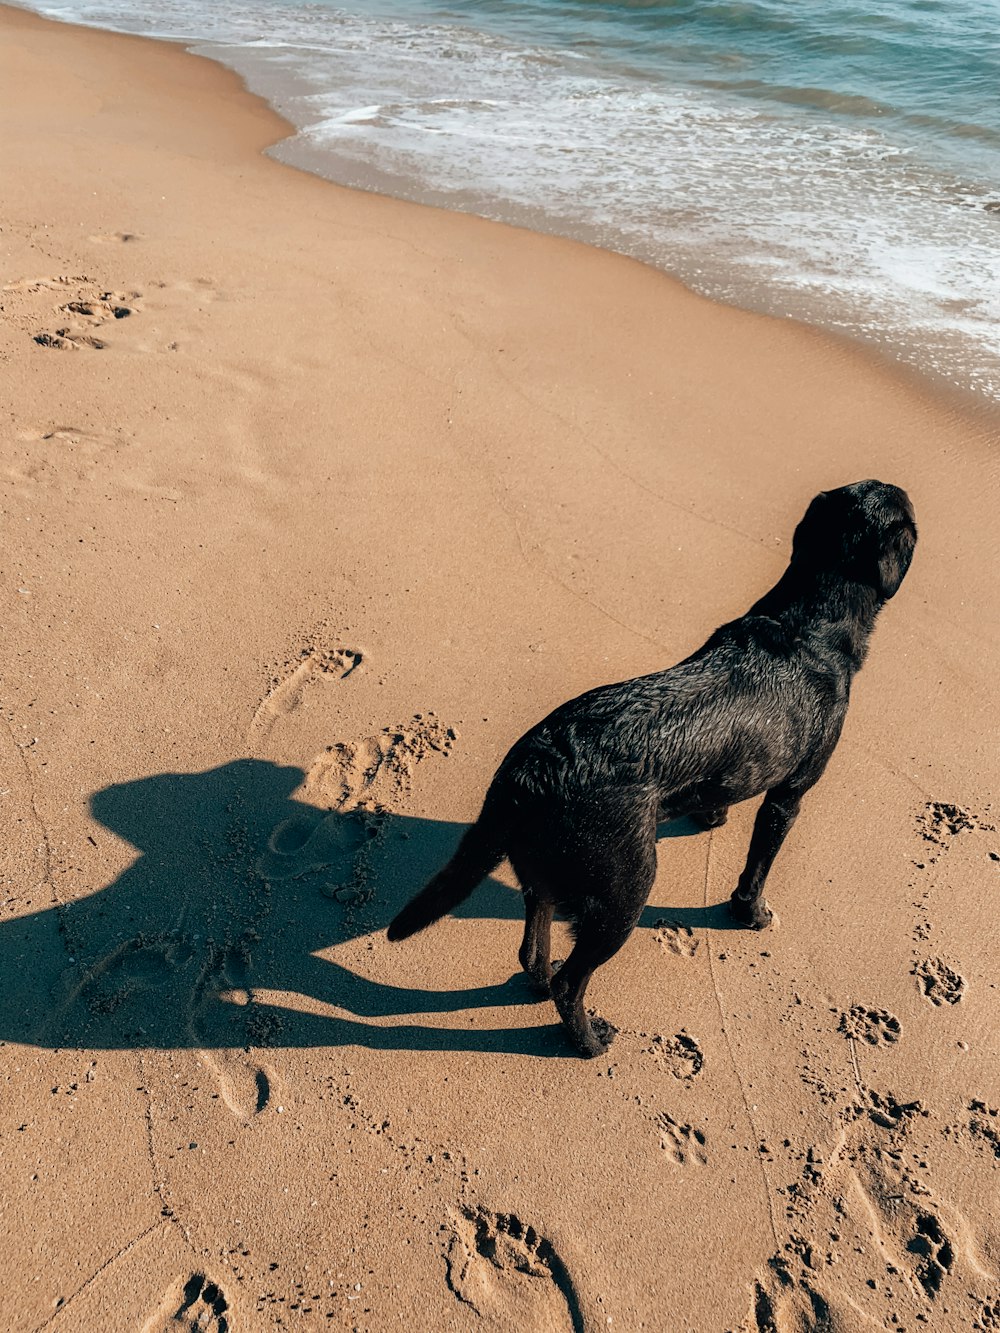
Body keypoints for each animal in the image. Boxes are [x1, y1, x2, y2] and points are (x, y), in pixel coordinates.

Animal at [386, 479, 922, 1050]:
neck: (808, 619)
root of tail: (530, 770)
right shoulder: (789, 796)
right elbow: (757, 868)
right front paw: (751, 914)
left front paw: (712, 818)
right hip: (625, 893)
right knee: (570, 983)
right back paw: (589, 1043)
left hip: (548, 873)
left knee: (534, 951)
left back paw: (538, 985)